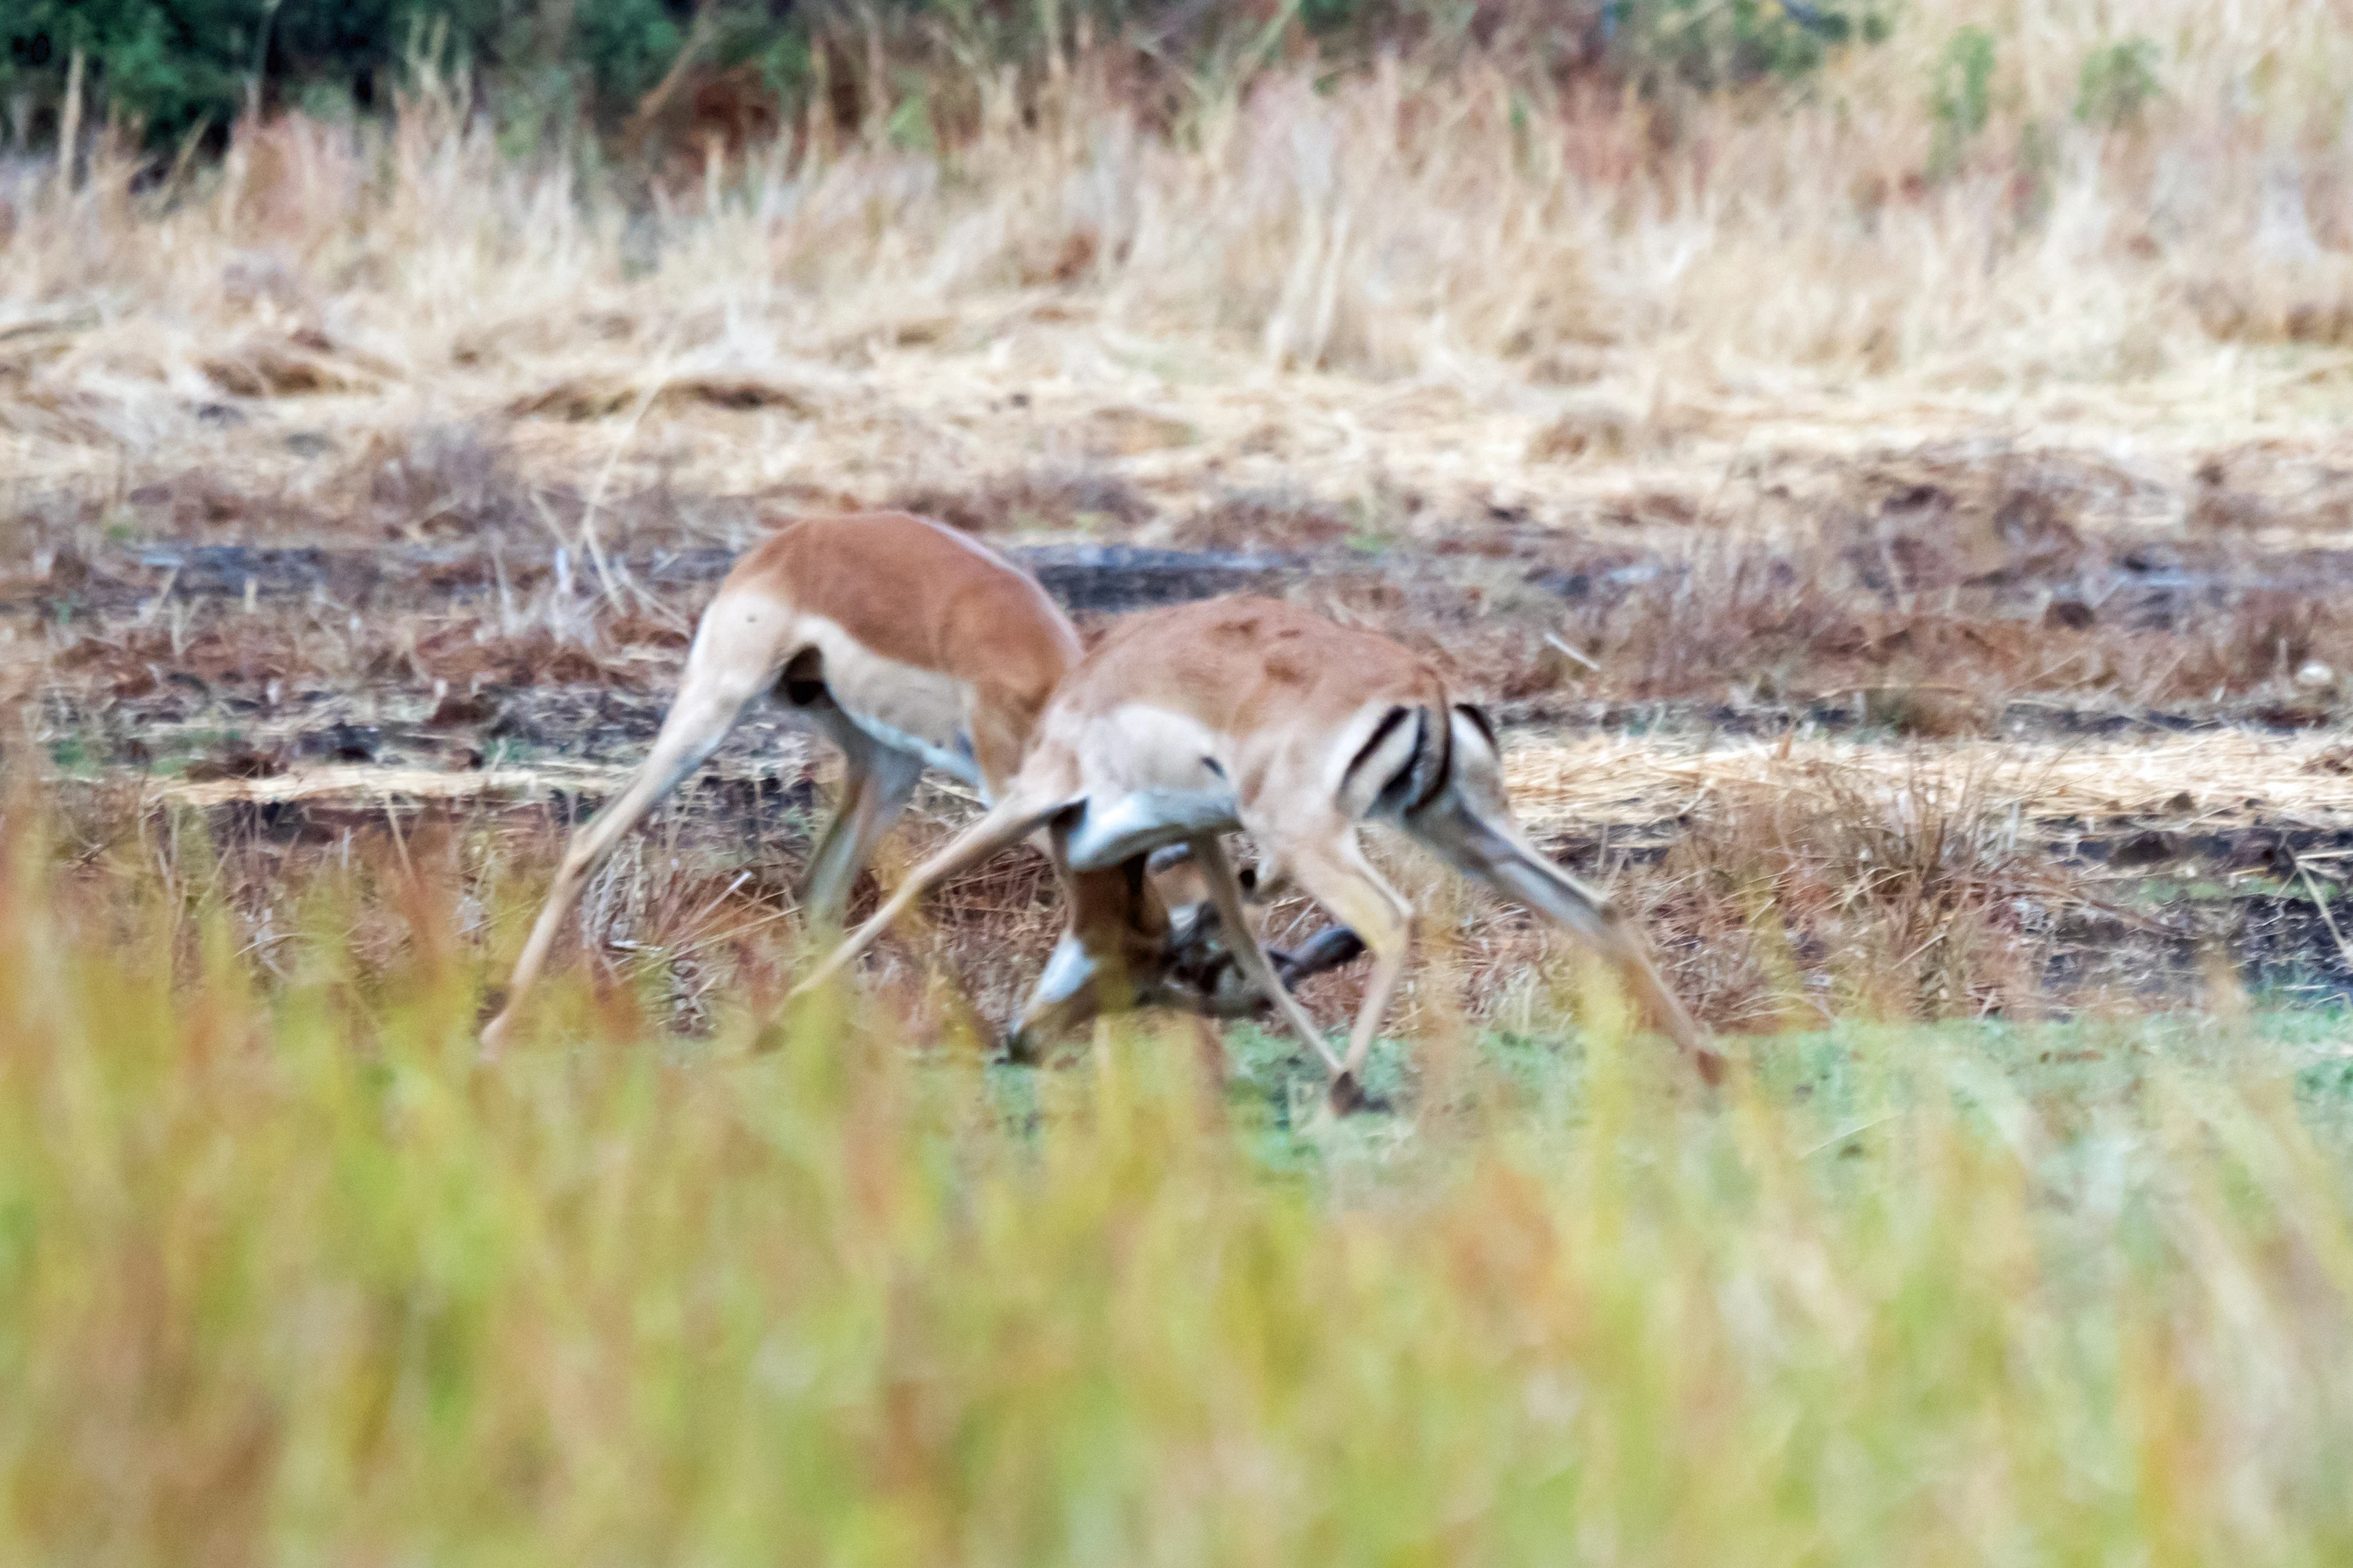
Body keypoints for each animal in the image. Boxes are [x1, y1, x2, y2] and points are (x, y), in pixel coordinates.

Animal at [481, 513, 1355, 1054]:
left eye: (1160, 982)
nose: (1030, 1041)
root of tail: (792, 541)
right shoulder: (1014, 797)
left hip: (884, 765)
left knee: (821, 887)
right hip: (713, 710)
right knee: (591, 840)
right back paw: (498, 1026)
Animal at [795, 594, 1722, 1109]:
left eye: (1141, 986)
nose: (1026, 1043)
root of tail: (1423, 684)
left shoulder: (1039, 795)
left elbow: (914, 879)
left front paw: (784, 1014)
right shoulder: (1203, 833)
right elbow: (1245, 938)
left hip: (1313, 837)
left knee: (1392, 919)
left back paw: (1341, 1096)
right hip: (1465, 833)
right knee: (1594, 909)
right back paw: (1708, 1068)